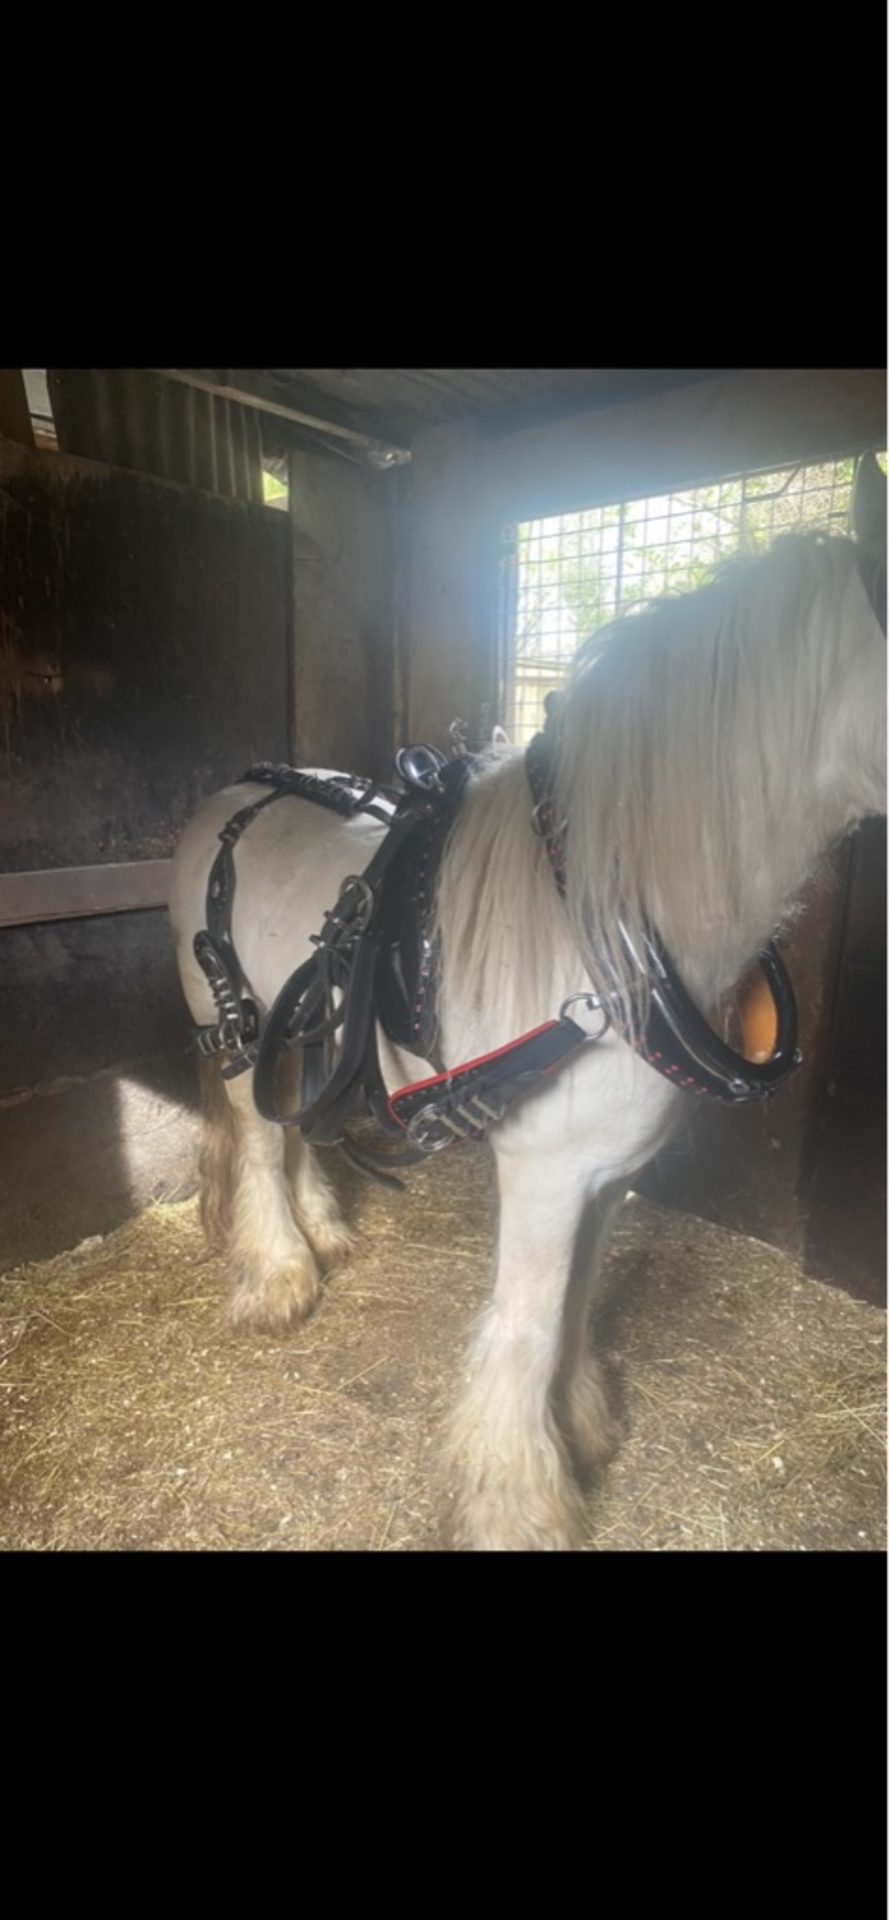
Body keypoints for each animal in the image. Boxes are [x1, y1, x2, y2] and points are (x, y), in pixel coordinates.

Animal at [167, 460, 883, 1543]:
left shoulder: (607, 1176)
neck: (610, 938)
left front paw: (579, 1425)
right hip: (231, 1024)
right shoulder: (545, 1174)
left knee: (292, 1126)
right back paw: (281, 1276)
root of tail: (229, 799)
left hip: (304, 1030)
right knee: (254, 1138)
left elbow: (577, 1308)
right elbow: (529, 1327)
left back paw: (323, 1230)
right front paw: (519, 1500)